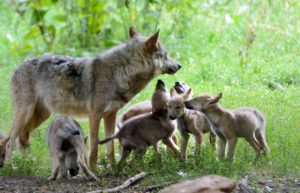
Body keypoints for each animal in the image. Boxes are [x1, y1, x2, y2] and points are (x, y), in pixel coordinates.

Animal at [5, 26, 180, 168]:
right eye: (165, 55)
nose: (180, 65)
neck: (119, 73)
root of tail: (18, 66)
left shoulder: (110, 116)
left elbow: (110, 146)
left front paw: (112, 167)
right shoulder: (94, 116)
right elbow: (95, 147)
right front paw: (94, 169)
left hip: (40, 116)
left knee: (22, 138)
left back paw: (27, 163)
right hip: (25, 114)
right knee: (10, 141)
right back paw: (10, 167)